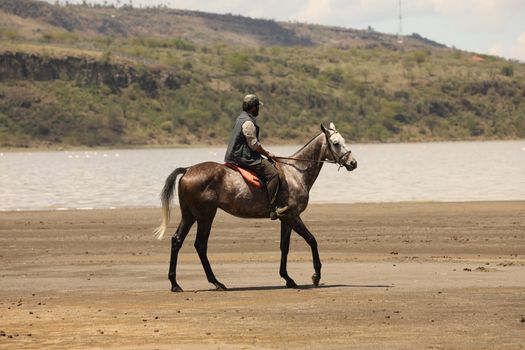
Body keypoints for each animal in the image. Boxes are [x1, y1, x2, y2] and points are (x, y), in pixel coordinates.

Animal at [151, 121, 356, 292]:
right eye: (336, 143)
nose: (353, 163)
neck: (295, 172)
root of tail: (187, 170)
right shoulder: (292, 216)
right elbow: (312, 240)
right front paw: (316, 275)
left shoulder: (286, 219)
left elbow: (284, 246)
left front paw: (288, 278)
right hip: (205, 215)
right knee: (200, 244)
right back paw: (216, 282)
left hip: (189, 215)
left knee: (177, 240)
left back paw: (175, 283)